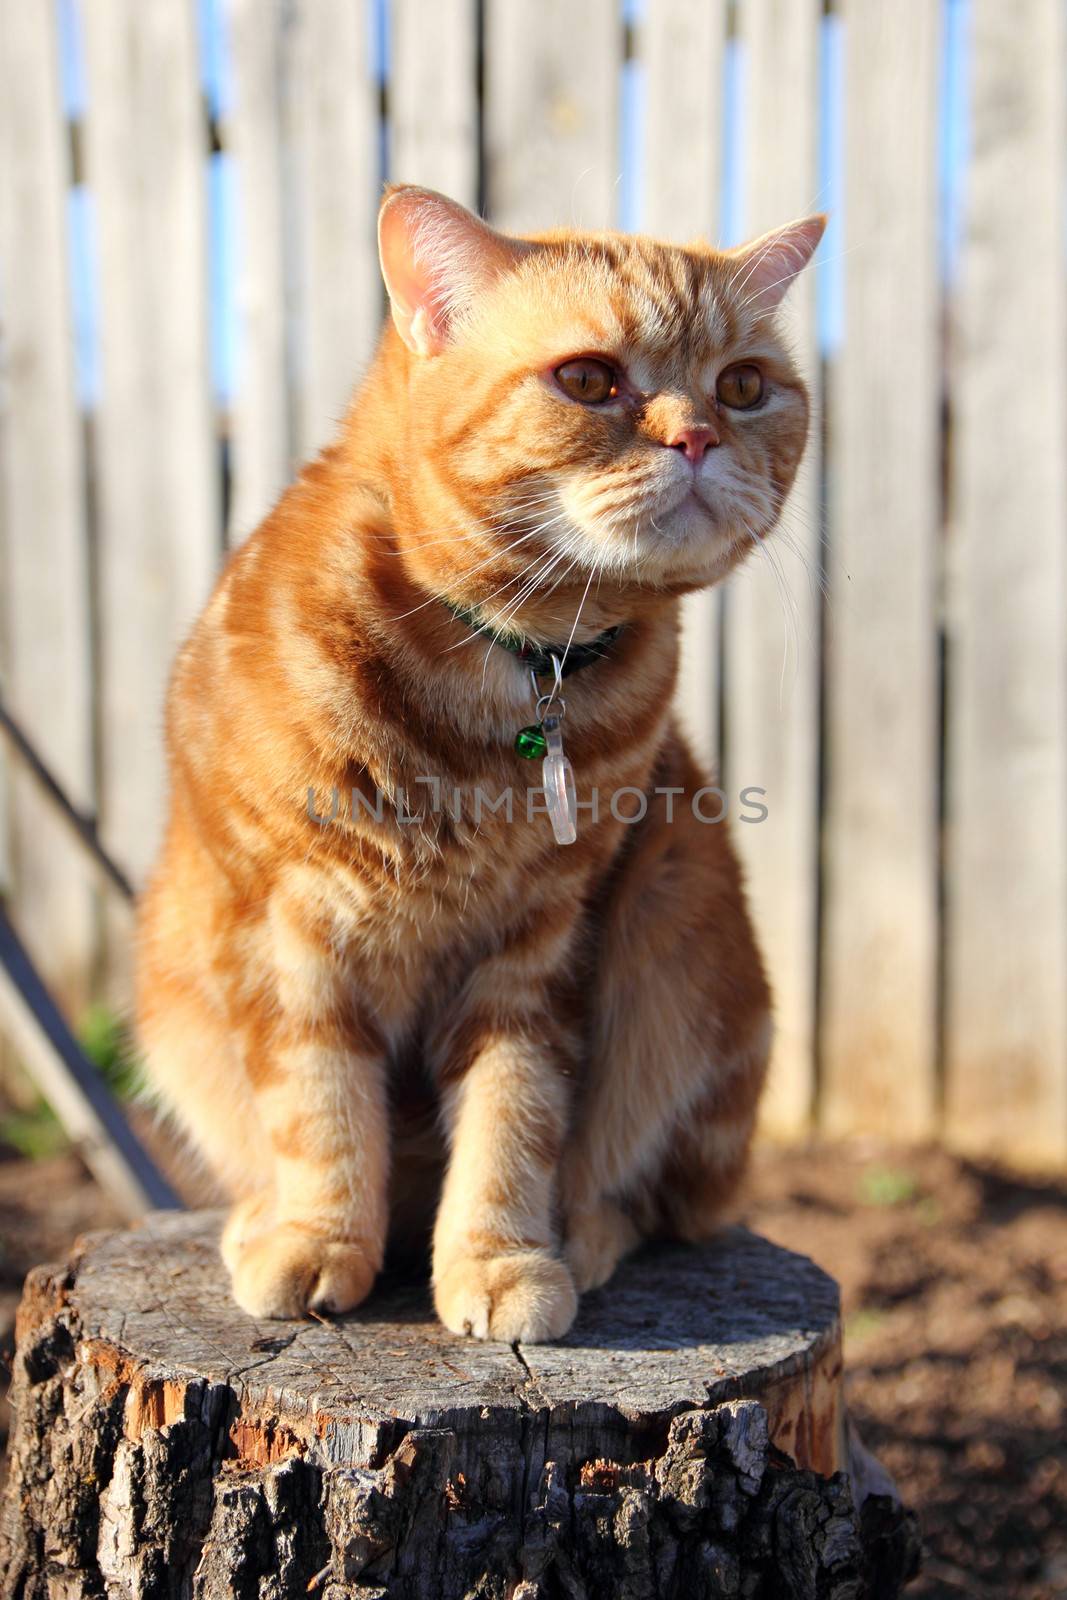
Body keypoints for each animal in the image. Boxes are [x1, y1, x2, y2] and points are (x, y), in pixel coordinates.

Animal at [137, 187, 825, 1337]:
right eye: (588, 379)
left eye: (742, 386)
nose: (696, 435)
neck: (514, 668)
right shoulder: (285, 930)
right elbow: (319, 1110)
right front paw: (318, 1239)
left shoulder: (545, 940)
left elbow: (514, 1117)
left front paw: (500, 1260)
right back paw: (263, 1222)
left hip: (679, 930)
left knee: (658, 1198)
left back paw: (577, 1235)